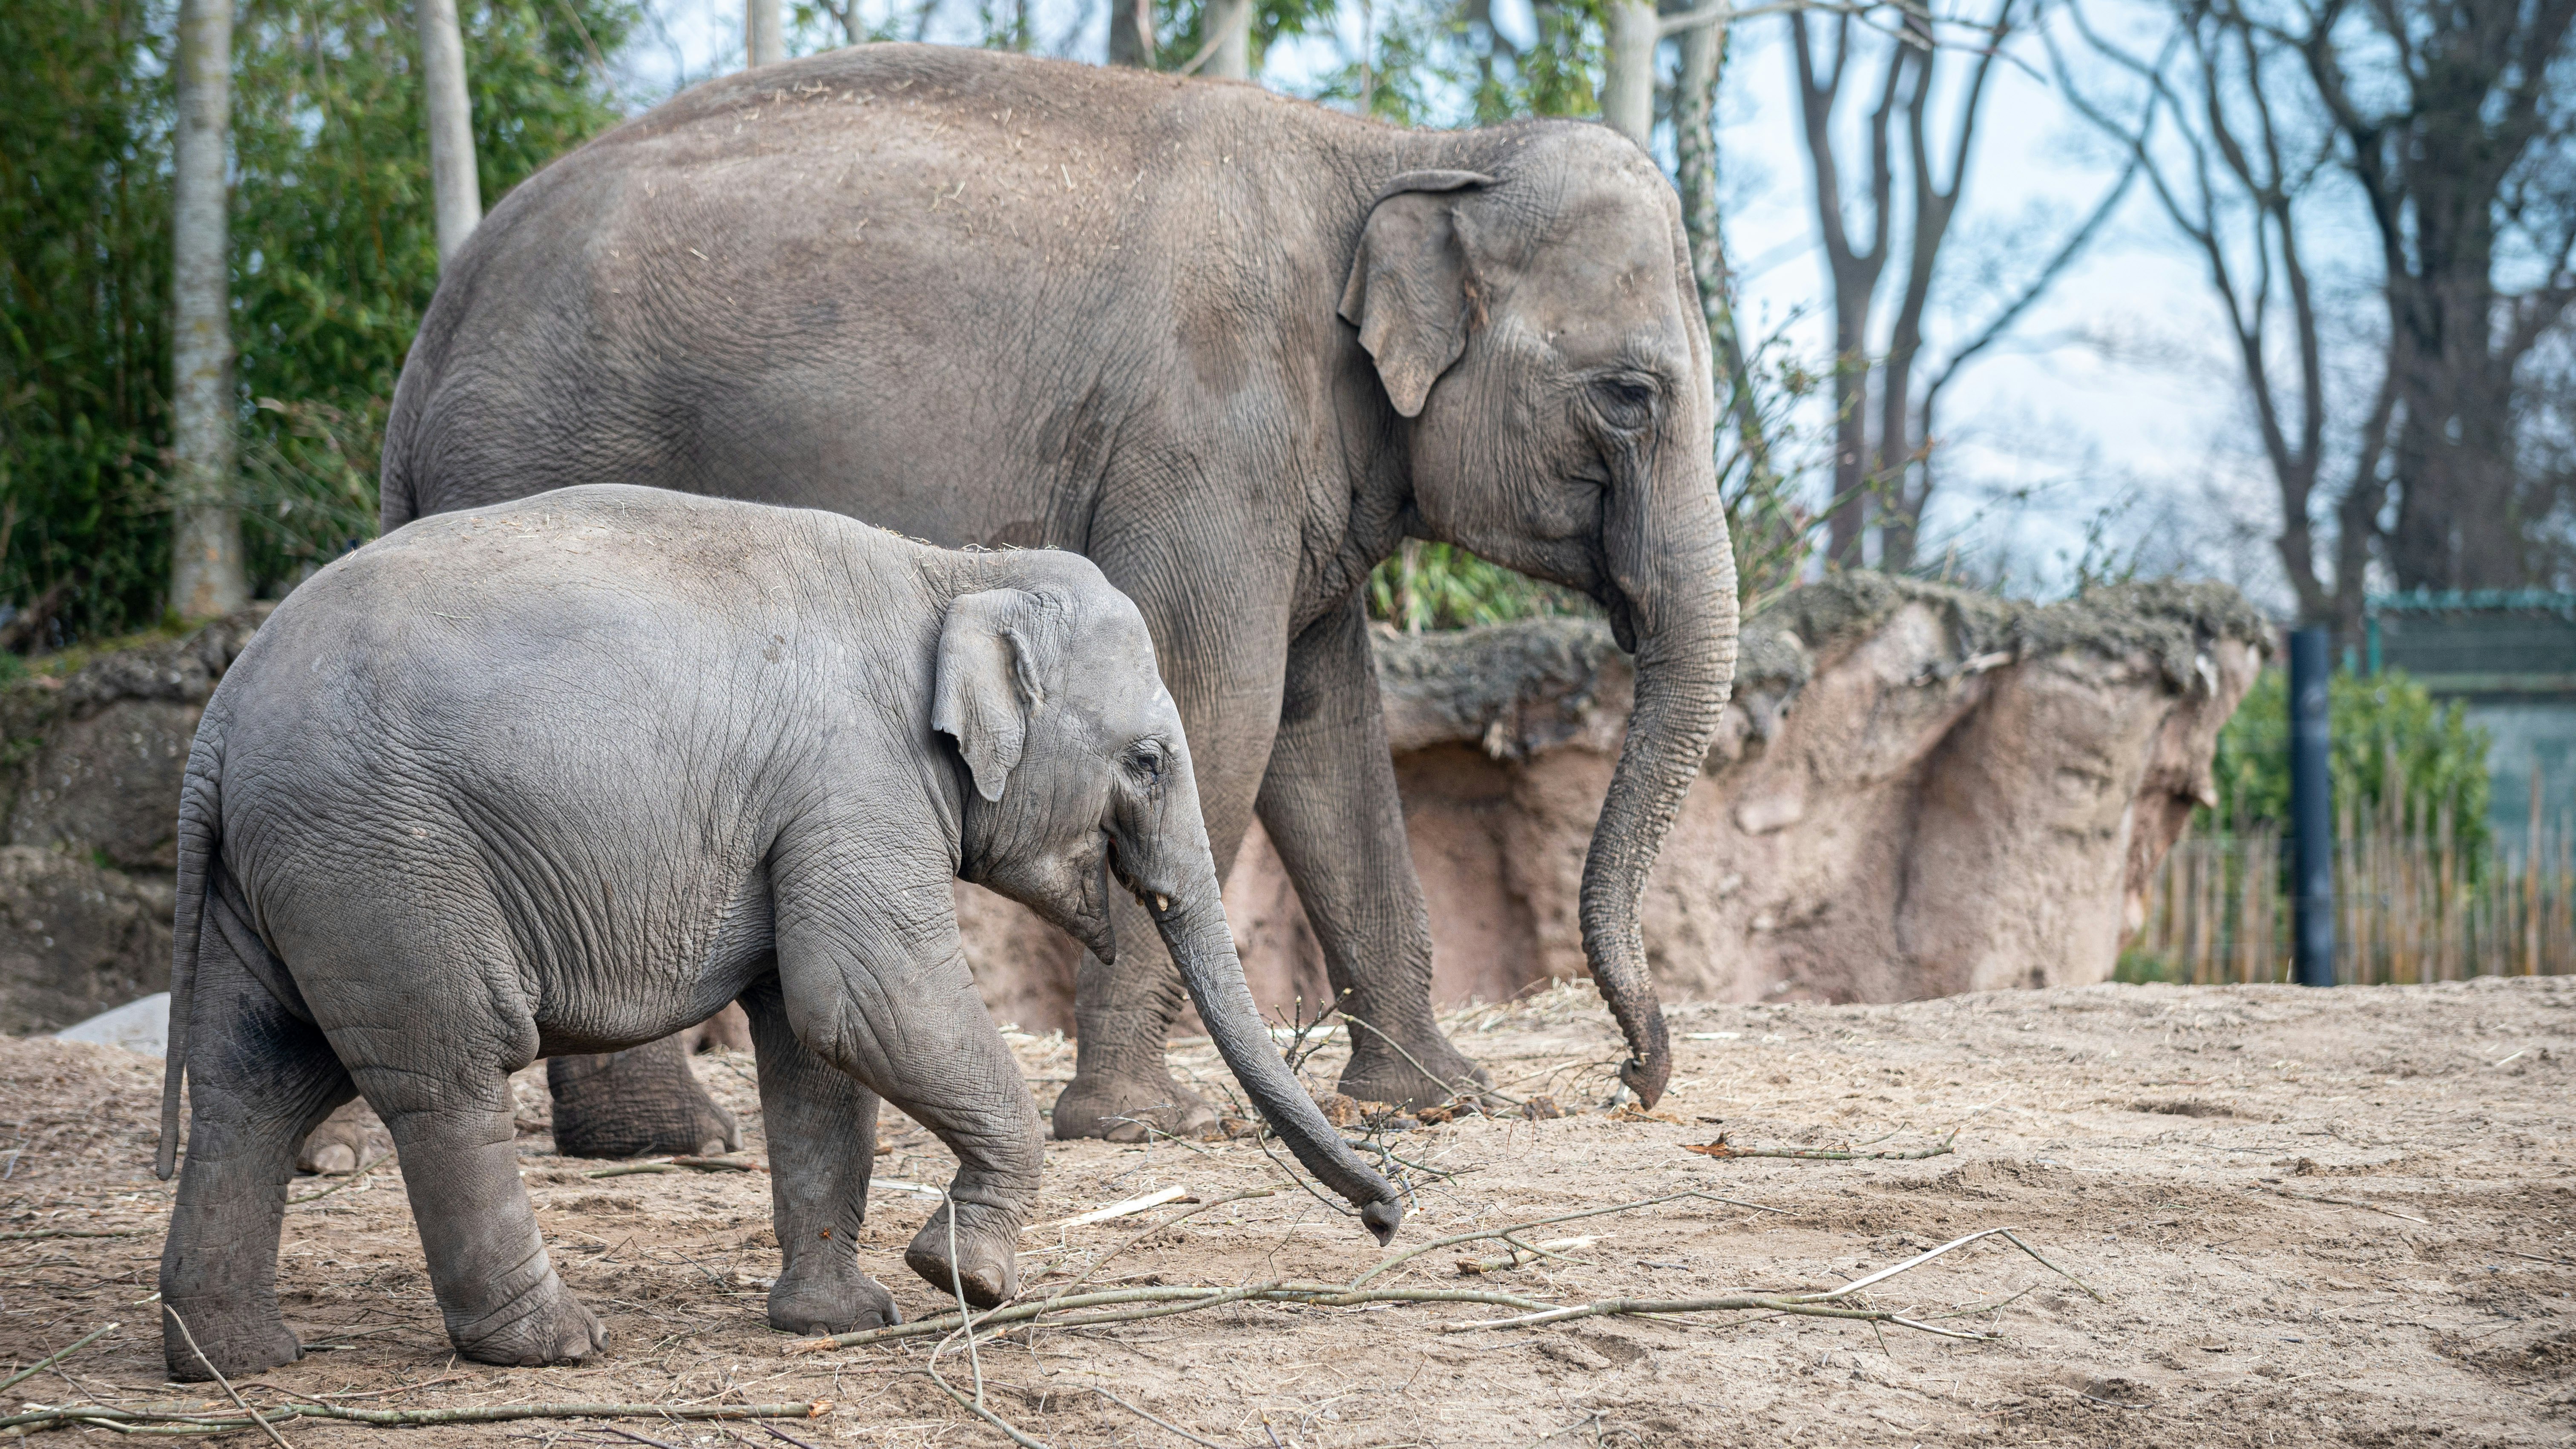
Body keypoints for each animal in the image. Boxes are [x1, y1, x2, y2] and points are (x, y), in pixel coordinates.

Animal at [151, 485, 1402, 1381]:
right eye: (1146, 759)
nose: (1390, 1213)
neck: (953, 571)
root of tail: (215, 728)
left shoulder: (807, 807)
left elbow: (814, 1047)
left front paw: (842, 1322)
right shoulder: (858, 775)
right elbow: (866, 999)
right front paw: (966, 1282)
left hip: (292, 876)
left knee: (256, 1085)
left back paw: (235, 1361)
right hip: (386, 860)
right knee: (448, 1070)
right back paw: (554, 1346)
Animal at [381, 43, 1741, 1146]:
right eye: (1632, 396)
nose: (1634, 1078)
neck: (1406, 152)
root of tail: (439, 320)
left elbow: (1326, 736)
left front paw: (1446, 1100)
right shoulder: (1207, 436)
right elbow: (1219, 706)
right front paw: (1143, 1126)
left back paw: (657, 1141)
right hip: (544, 465)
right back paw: (676, 1139)